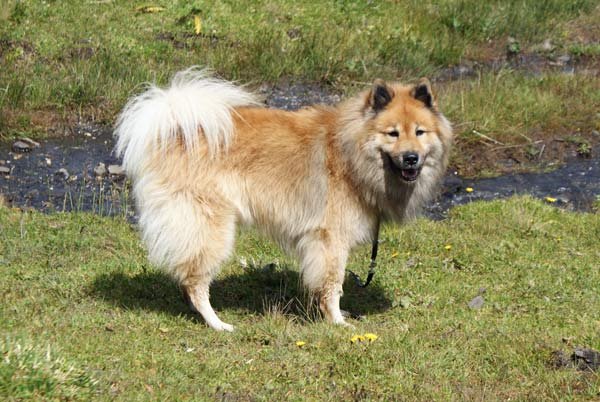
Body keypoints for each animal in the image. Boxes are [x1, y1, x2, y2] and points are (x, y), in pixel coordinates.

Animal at [113, 69, 450, 332]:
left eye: (420, 132)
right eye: (392, 134)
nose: (411, 158)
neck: (350, 152)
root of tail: (174, 130)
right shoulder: (330, 240)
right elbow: (333, 284)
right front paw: (337, 321)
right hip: (211, 228)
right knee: (196, 282)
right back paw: (218, 323)